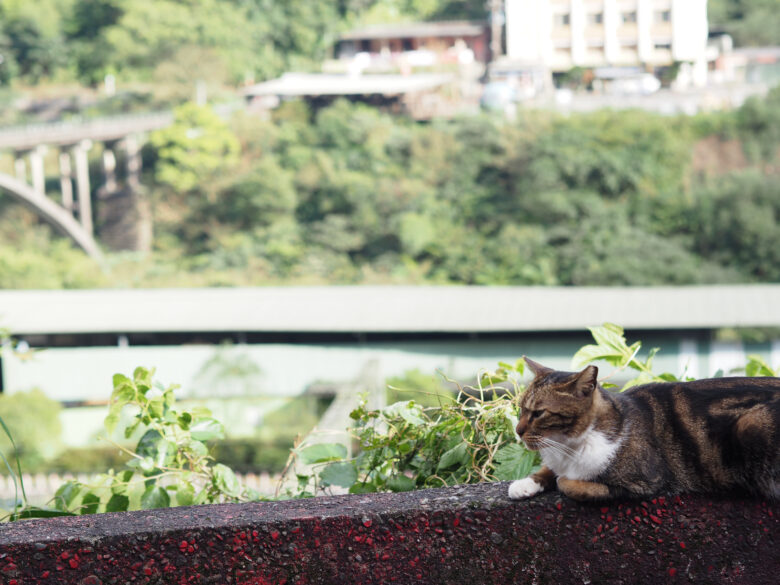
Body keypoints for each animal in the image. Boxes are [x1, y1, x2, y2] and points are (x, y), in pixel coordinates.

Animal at [508, 356, 780, 502]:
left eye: (538, 413)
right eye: (521, 408)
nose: (518, 431)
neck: (568, 446)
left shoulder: (644, 483)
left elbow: (570, 483)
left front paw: (564, 479)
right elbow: (548, 470)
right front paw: (525, 484)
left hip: (751, 425)